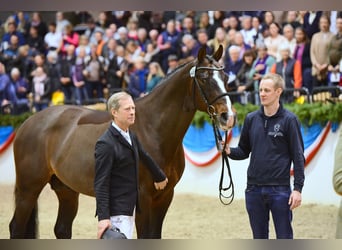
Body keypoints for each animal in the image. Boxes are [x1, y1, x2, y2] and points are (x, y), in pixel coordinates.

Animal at [10, 45, 235, 238]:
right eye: (204, 78)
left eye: (225, 77)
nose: (228, 116)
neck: (154, 129)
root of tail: (27, 122)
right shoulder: (143, 198)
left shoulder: (164, 197)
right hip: (28, 189)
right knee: (16, 227)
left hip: (66, 190)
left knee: (62, 229)